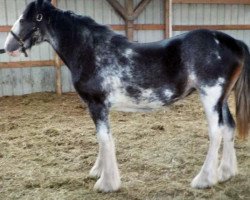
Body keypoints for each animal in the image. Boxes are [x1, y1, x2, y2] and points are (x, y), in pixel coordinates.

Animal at [3, 0, 250, 193]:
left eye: (27, 18)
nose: (8, 46)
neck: (91, 51)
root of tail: (234, 42)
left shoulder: (97, 105)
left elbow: (104, 139)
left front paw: (107, 183)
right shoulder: (99, 107)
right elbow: (104, 139)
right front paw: (98, 171)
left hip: (210, 97)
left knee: (216, 132)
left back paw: (204, 179)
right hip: (221, 100)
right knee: (229, 128)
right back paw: (226, 172)